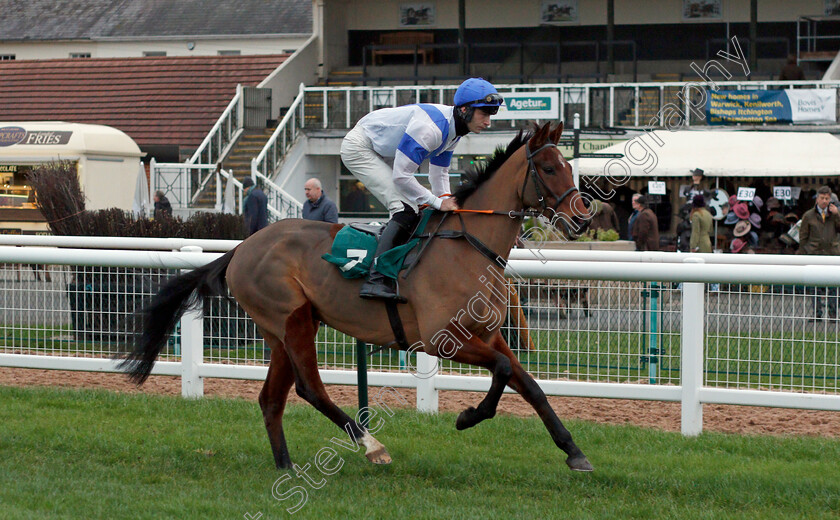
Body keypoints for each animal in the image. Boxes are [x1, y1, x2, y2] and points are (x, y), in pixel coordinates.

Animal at [123, 121, 596, 472]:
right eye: (549, 168)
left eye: (569, 167)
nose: (582, 218)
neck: (468, 248)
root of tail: (241, 248)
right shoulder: (443, 339)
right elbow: (502, 369)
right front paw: (467, 417)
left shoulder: (489, 334)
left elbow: (528, 383)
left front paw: (574, 451)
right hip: (293, 320)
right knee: (310, 389)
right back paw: (371, 446)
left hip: (284, 329)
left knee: (271, 399)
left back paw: (285, 464)